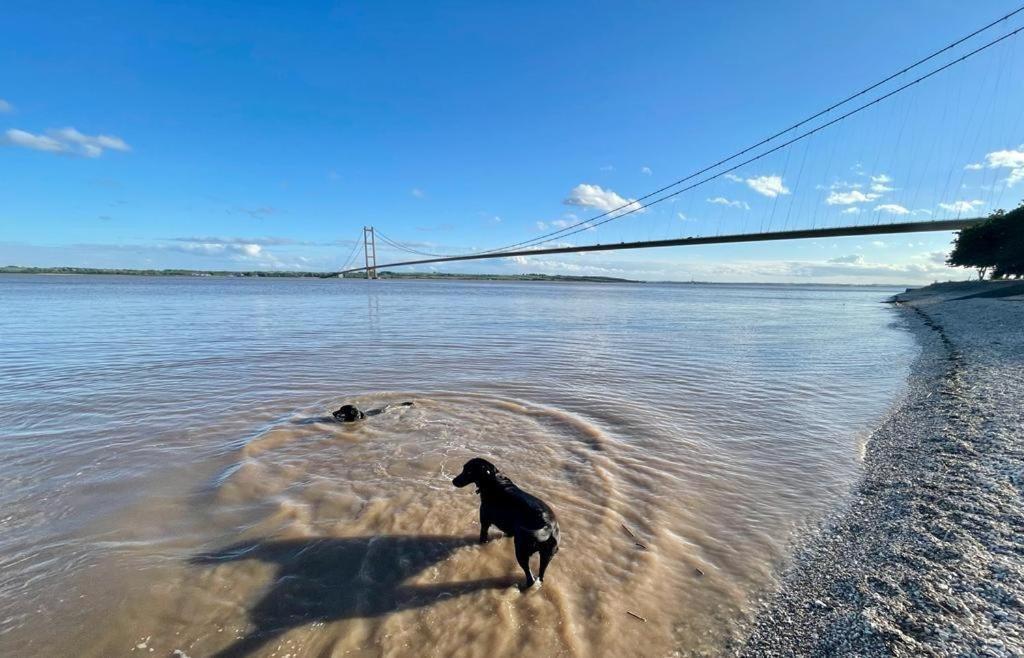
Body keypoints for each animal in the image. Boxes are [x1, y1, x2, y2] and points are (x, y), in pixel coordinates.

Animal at [452, 458, 561, 593]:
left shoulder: (485, 523)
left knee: (530, 578)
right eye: (464, 468)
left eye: (468, 471)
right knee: (541, 576)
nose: (453, 481)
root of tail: (549, 526)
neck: (493, 479)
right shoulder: (510, 530)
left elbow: (483, 538)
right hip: (547, 556)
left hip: (521, 551)